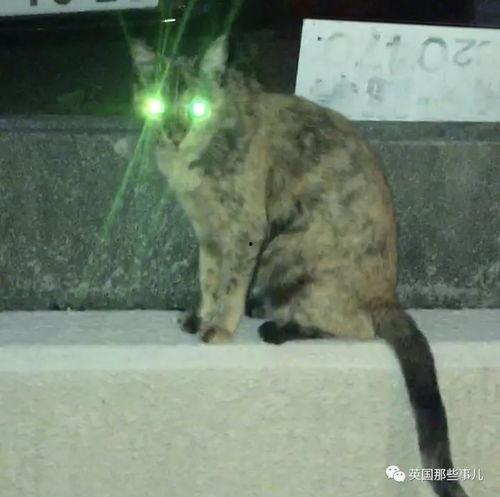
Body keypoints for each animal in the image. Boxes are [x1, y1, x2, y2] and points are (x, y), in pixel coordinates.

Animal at [130, 35, 469, 497]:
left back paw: (276, 328)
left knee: (356, 327)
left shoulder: (245, 228)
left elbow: (229, 285)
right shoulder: (208, 233)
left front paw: (219, 327)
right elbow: (209, 277)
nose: (175, 131)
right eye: (159, 103)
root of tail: (388, 295)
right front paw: (201, 314)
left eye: (197, 106)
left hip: (284, 248)